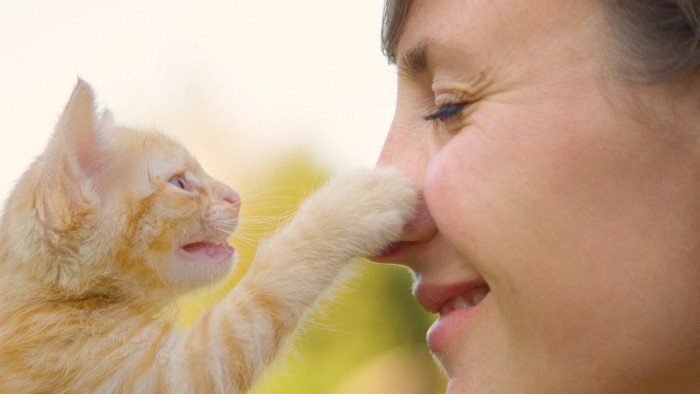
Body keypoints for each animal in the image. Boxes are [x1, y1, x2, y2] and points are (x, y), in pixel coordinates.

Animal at [0, 81, 416, 394]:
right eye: (180, 183)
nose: (235, 196)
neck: (57, 299)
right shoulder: (172, 372)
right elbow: (265, 290)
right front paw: (357, 201)